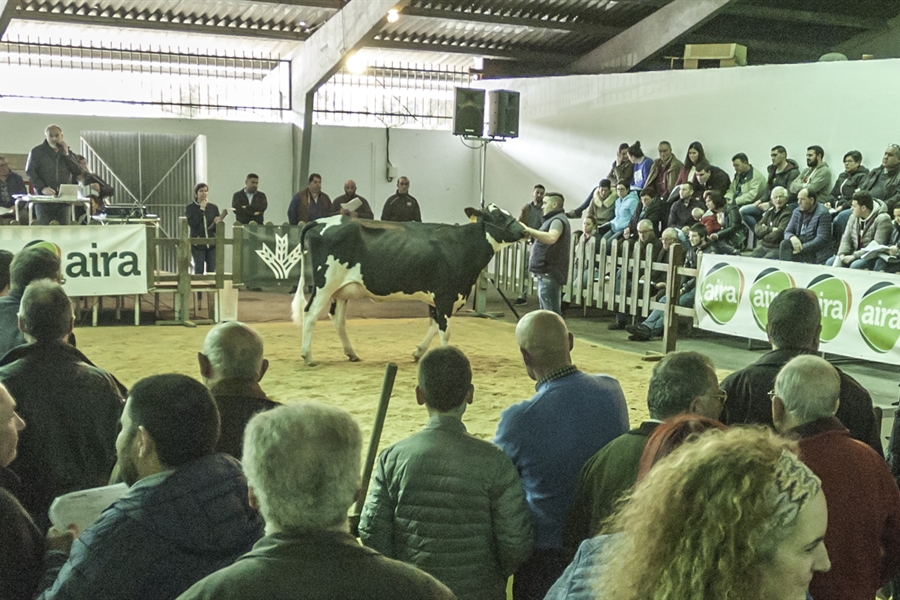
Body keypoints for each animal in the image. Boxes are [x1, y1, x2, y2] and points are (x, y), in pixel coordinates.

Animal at [292, 204, 524, 366]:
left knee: (338, 319)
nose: (523, 230)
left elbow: (433, 326)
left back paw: (351, 353)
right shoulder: (445, 295)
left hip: (341, 290)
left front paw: (418, 352)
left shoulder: (437, 298)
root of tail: (321, 221)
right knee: (310, 314)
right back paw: (308, 356)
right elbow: (445, 331)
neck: (461, 244)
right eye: (500, 216)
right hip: (325, 284)